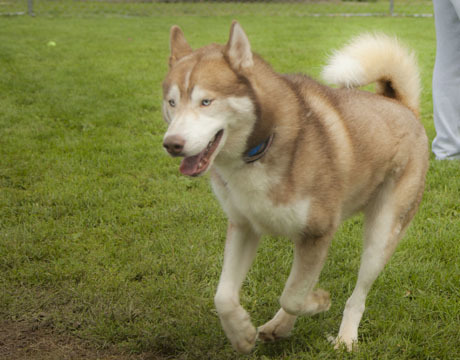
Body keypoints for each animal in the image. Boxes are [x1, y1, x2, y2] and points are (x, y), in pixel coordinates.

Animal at [161, 21, 428, 352]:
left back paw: (345, 337)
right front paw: (241, 333)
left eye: (206, 101)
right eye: (172, 102)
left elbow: (292, 296)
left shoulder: (318, 232)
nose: (172, 144)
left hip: (382, 233)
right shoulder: (244, 225)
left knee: (357, 295)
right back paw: (279, 326)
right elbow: (223, 296)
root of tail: (401, 105)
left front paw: (318, 303)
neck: (258, 152)